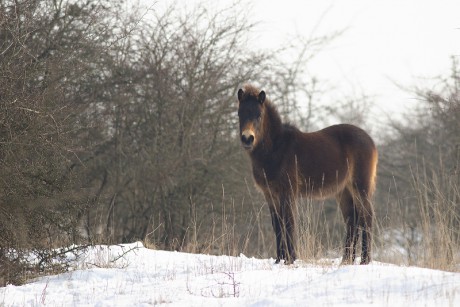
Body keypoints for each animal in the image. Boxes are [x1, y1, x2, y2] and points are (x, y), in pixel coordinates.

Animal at [237, 85, 378, 266]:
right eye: (240, 114)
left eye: (258, 115)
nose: (247, 138)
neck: (276, 148)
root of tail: (371, 141)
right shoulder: (270, 195)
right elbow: (277, 225)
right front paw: (279, 259)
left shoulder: (288, 192)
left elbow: (289, 223)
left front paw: (290, 259)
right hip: (344, 191)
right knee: (352, 220)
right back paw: (347, 260)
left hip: (360, 187)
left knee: (367, 217)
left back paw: (364, 261)